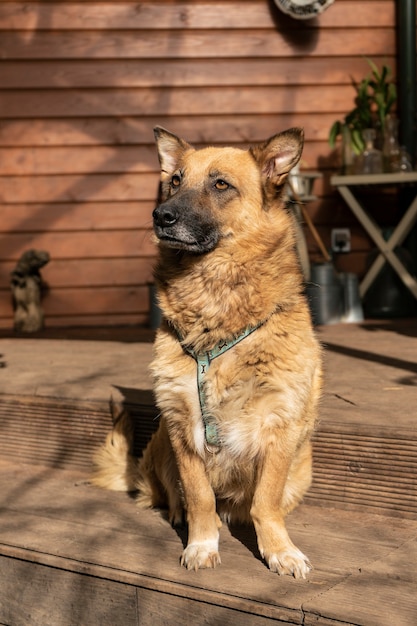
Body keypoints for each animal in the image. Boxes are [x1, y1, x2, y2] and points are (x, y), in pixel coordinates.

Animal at [93, 125, 322, 576]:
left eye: (221, 185)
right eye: (175, 180)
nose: (160, 216)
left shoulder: (279, 426)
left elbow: (266, 503)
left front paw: (279, 549)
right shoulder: (183, 427)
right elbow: (199, 497)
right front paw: (201, 544)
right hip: (161, 442)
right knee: (175, 496)